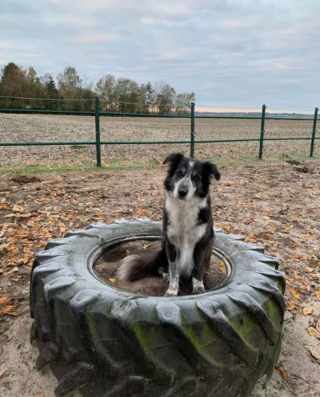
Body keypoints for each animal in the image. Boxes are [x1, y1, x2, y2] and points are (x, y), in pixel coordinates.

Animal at [117, 153, 220, 296]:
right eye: (179, 173)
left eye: (196, 178)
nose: (182, 191)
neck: (184, 207)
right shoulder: (171, 244)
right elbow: (174, 270)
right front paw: (172, 290)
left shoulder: (201, 243)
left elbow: (197, 269)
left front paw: (198, 288)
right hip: (163, 249)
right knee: (160, 268)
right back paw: (166, 276)